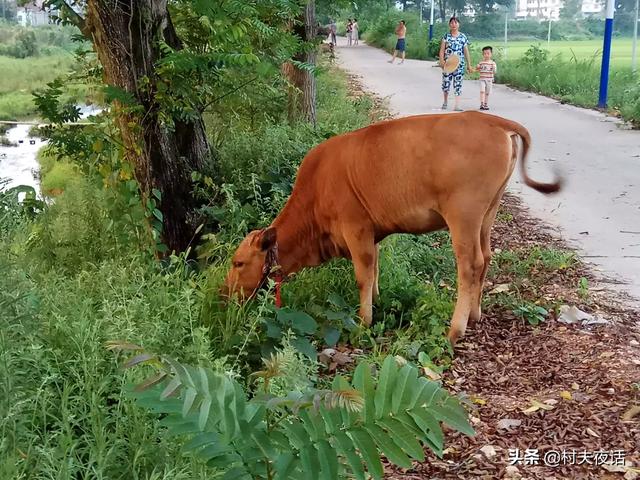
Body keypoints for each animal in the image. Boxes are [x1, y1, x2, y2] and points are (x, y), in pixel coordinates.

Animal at [221, 112, 560, 344]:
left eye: (238, 263)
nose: (223, 293)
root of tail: (490, 119)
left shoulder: (355, 227)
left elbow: (362, 274)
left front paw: (364, 320)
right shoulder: (372, 232)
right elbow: (375, 270)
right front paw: (378, 301)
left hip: (463, 216)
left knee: (470, 264)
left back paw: (455, 329)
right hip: (488, 213)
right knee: (487, 257)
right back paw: (475, 315)